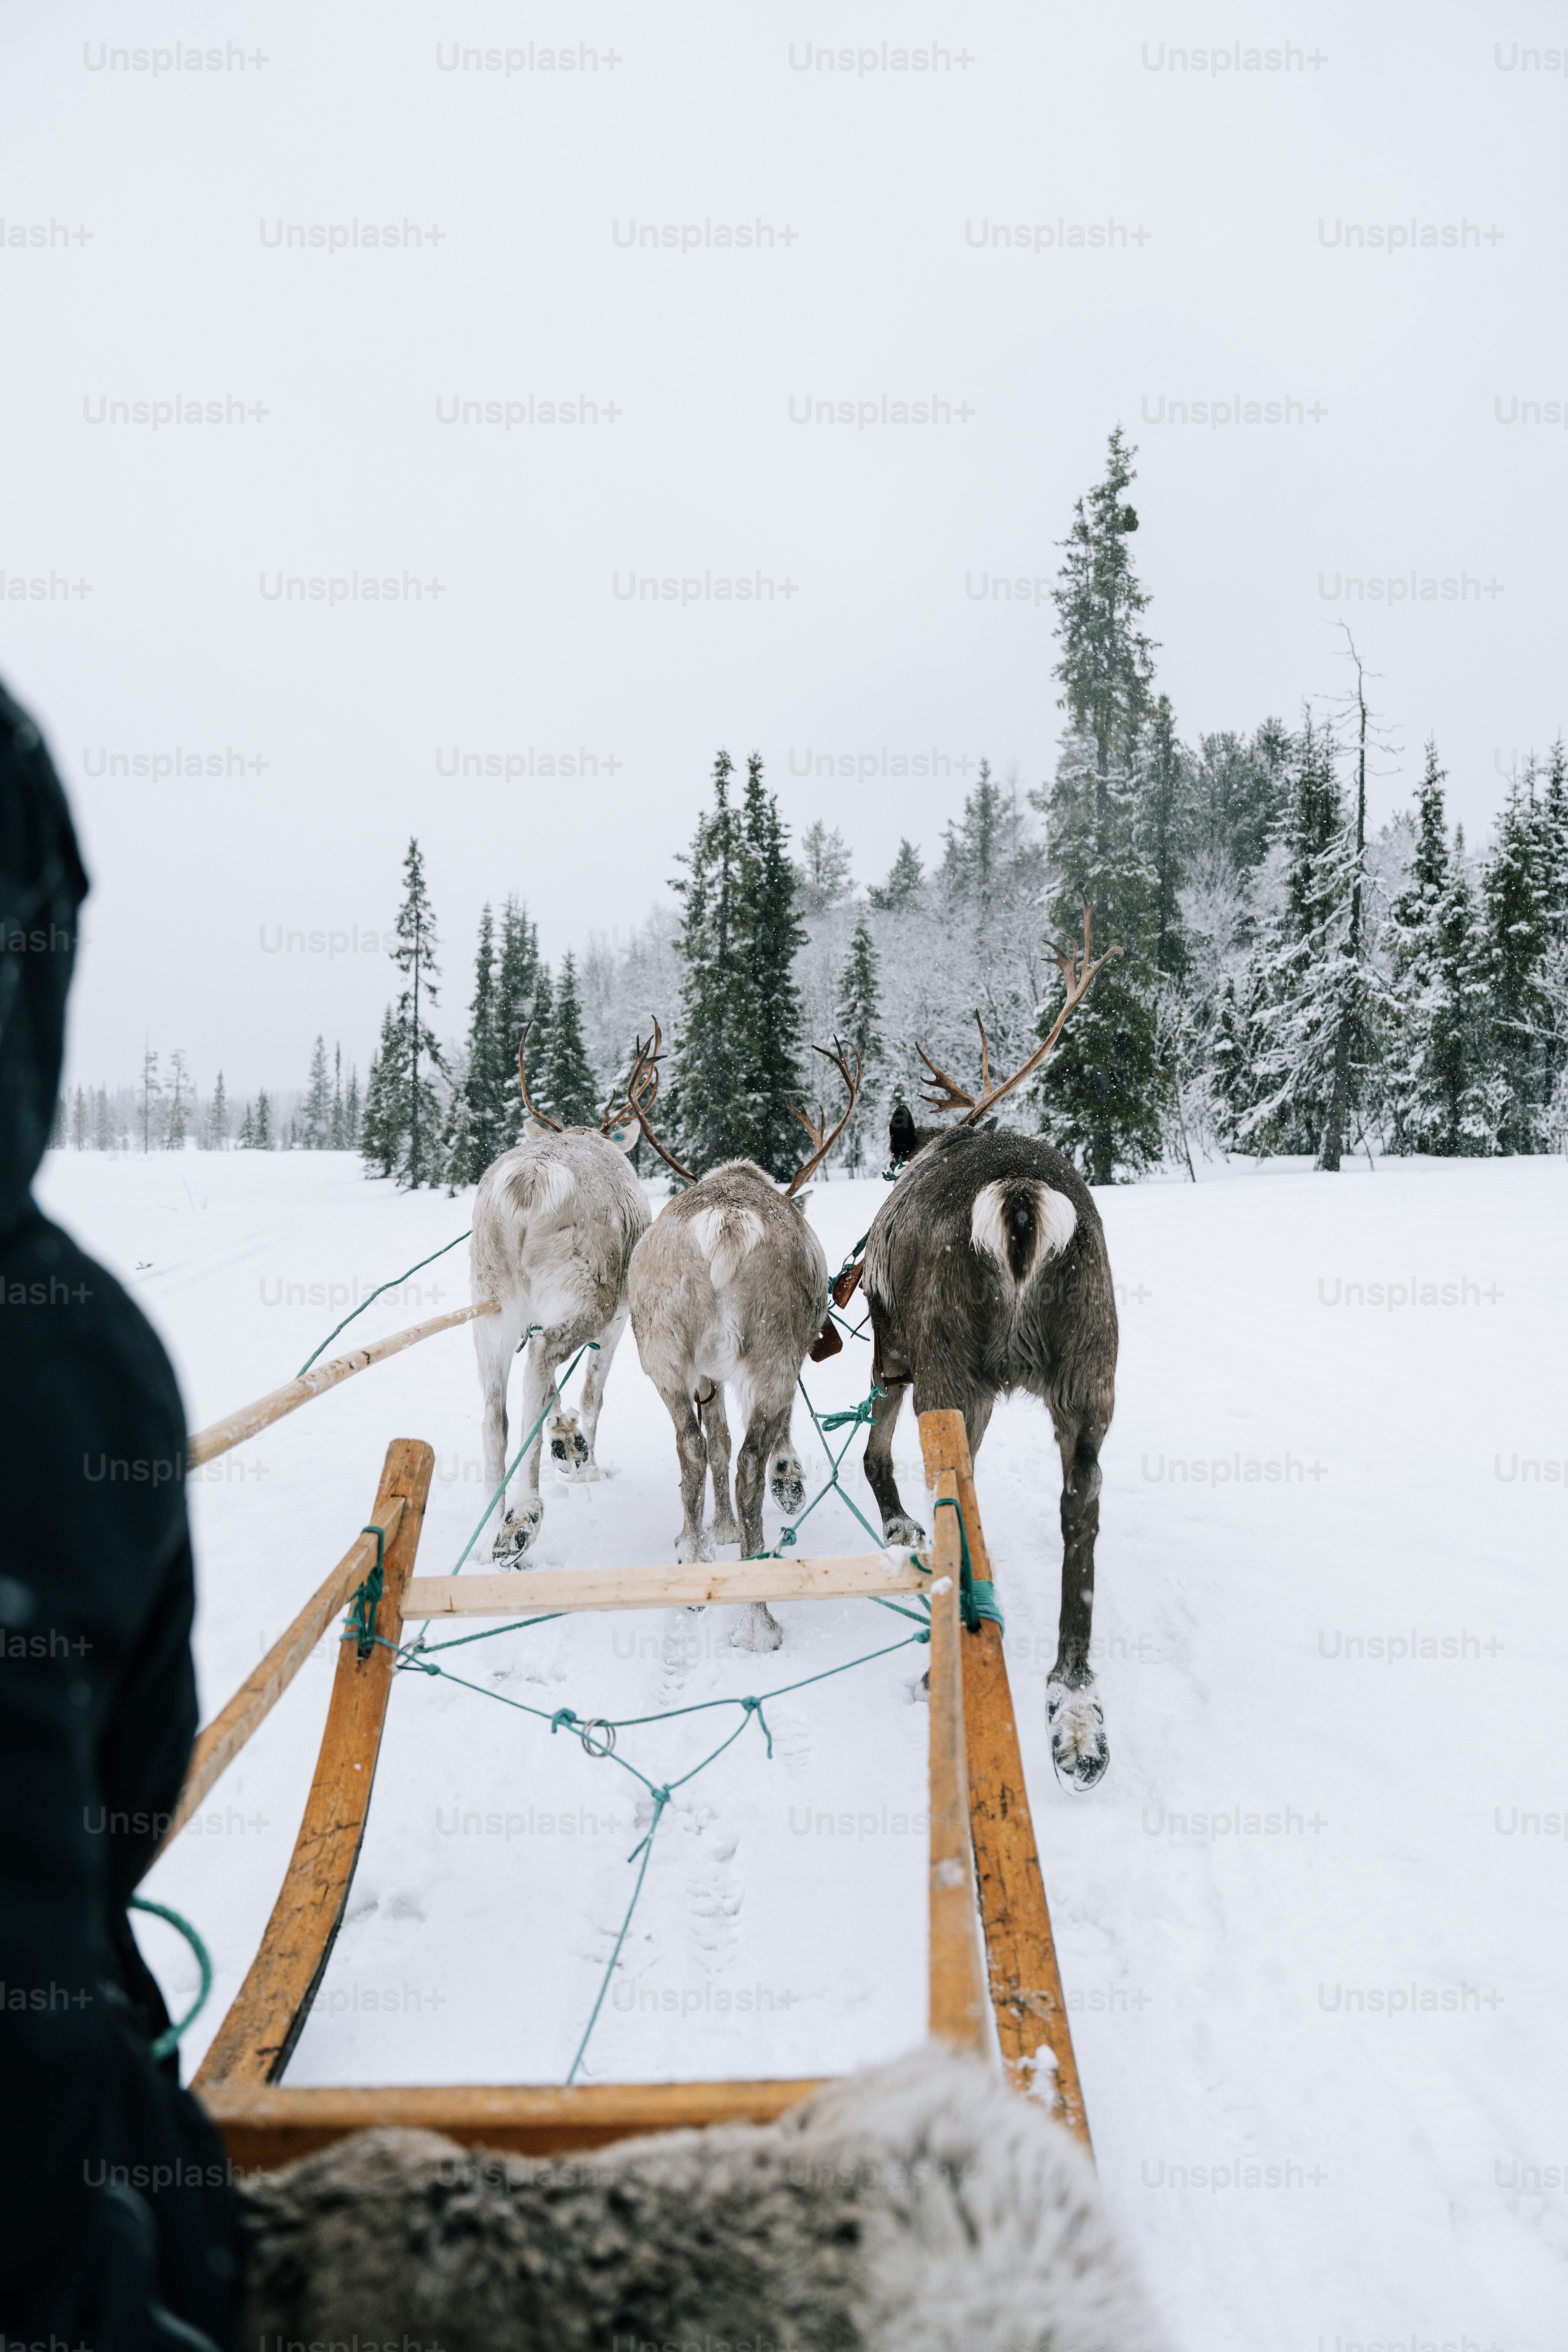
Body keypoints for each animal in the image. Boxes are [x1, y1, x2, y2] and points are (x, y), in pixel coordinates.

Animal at [469, 1031, 655, 1564]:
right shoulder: (618, 1319)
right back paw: (523, 1516)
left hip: (490, 1305)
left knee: (495, 1411)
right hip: (587, 1297)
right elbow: (593, 1393)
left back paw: (490, 1530)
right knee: (538, 1360)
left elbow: (555, 1395)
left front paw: (566, 1441)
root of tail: (527, 1183)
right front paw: (585, 1459)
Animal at [625, 1024, 860, 1653]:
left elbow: (717, 1439)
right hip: (774, 1350)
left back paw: (692, 1558)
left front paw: (718, 1532)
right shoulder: (782, 1365)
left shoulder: (707, 1371)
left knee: (691, 1447)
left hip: (663, 1352)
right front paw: (778, 1492)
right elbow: (761, 1441)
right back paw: (759, 1618)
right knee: (749, 1464)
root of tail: (727, 1224)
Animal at [849, 906, 1123, 1788]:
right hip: (1089, 1372)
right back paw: (1074, 1709)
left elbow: (875, 1446)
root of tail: (1022, 1200)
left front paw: (894, 1524)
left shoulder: (893, 1342)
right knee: (1082, 1509)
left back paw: (944, 1665)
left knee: (956, 1504)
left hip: (949, 1365)